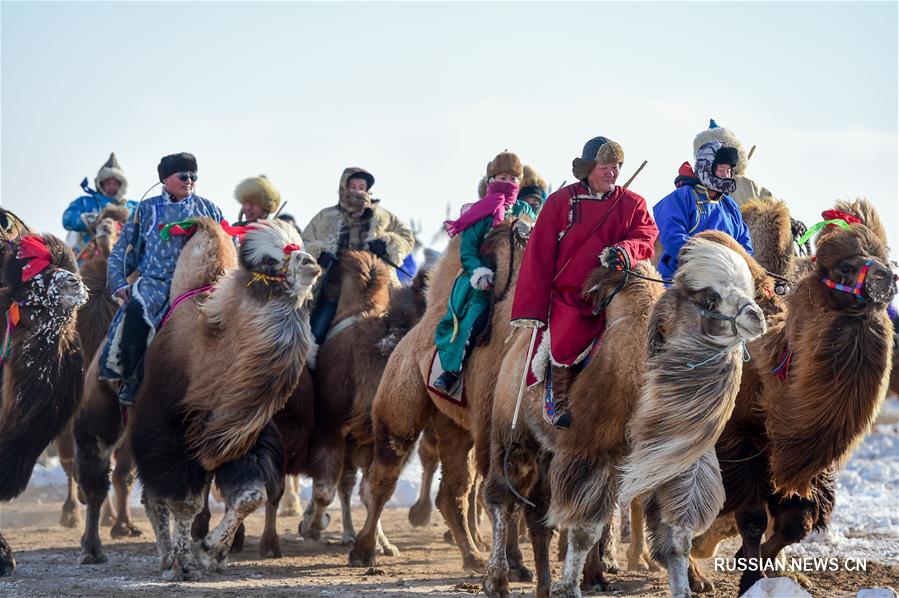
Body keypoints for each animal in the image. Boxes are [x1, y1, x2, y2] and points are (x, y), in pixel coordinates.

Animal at [130, 220, 320, 580]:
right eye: (269, 262)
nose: (311, 263)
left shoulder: (243, 439)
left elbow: (251, 496)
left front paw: (212, 551)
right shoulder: (168, 434)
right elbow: (185, 501)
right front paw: (184, 563)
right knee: (154, 496)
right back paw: (166, 558)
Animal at [350, 220, 536, 576]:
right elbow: (508, 492)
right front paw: (516, 565)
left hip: (453, 423)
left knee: (453, 492)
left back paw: (472, 556)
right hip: (401, 402)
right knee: (384, 475)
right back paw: (364, 551)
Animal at [486, 258, 668, 598]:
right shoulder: (590, 452)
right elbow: (584, 529)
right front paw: (569, 587)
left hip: (549, 453)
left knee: (538, 516)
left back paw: (546, 585)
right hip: (515, 438)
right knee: (503, 498)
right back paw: (497, 580)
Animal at [688, 214, 892, 596]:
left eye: (885, 256)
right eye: (845, 267)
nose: (885, 279)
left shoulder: (801, 464)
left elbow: (796, 523)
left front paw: (757, 564)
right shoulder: (740, 445)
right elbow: (753, 519)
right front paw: (750, 576)